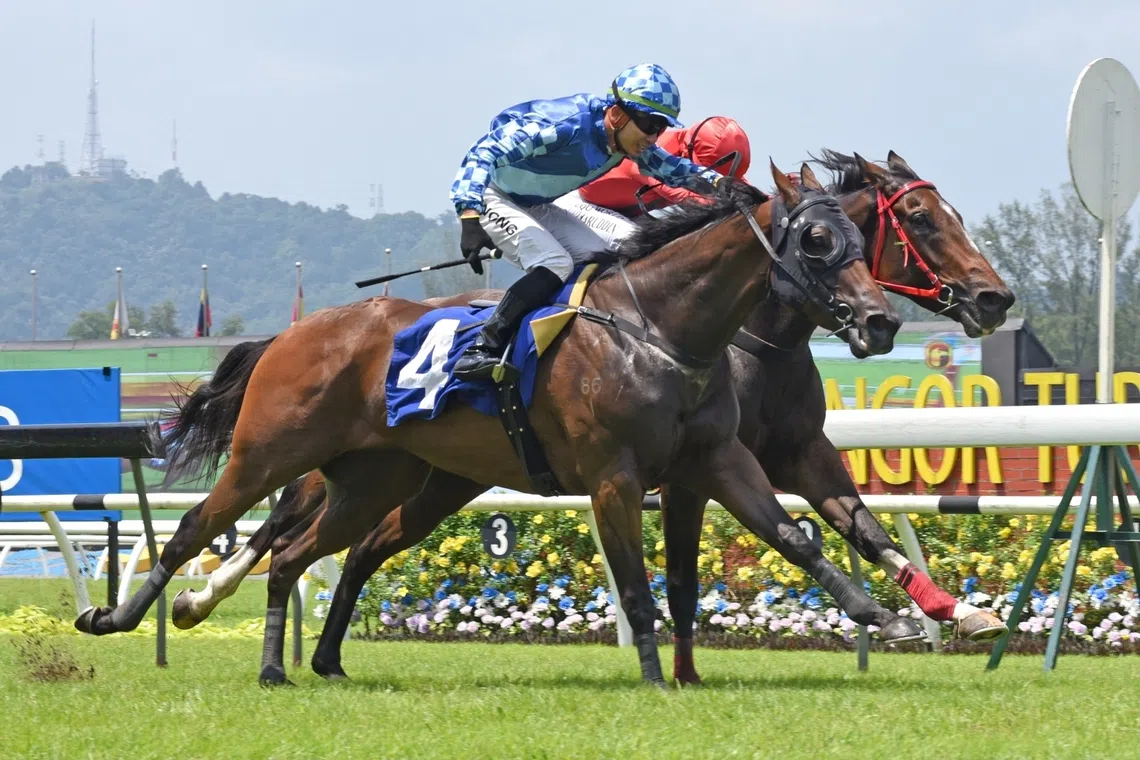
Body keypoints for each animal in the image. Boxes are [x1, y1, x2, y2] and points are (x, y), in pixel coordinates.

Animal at [173, 150, 1014, 685]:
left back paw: (316, 653)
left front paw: (948, 614)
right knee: (282, 529)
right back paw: (197, 599)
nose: (994, 297)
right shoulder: (669, 478)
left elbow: (844, 527)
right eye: (920, 218)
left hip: (433, 481)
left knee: (352, 547)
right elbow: (681, 576)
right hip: (336, 459)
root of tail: (303, 330)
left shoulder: (783, 451)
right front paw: (677, 669)